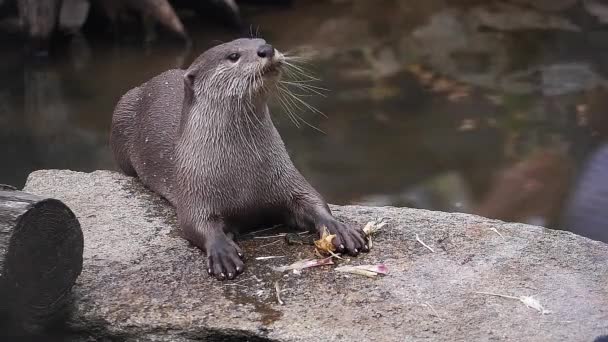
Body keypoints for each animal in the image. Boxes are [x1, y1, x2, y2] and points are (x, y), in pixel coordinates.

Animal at [110, 38, 366, 282]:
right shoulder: (193, 187)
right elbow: (194, 223)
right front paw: (222, 252)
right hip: (121, 111)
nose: (266, 49)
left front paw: (340, 229)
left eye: (261, 40)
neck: (243, 171)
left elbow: (313, 200)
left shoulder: (285, 175)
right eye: (233, 56)